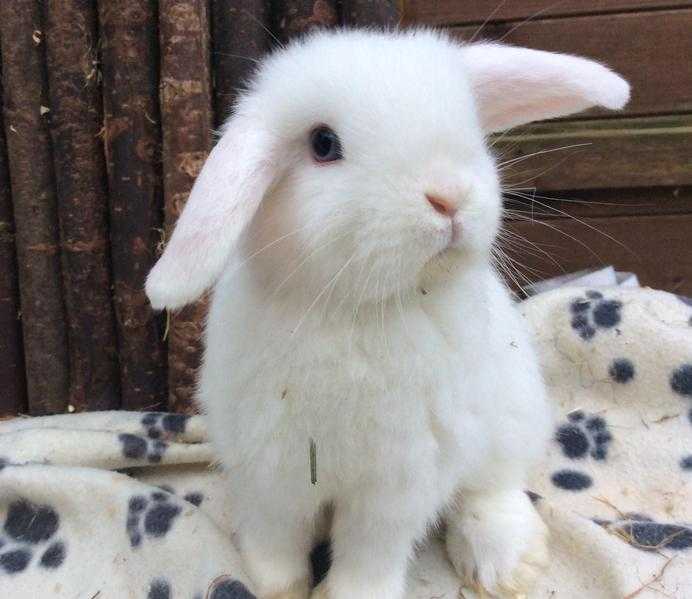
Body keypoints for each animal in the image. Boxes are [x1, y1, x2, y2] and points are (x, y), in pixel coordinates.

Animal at [145, 29, 628, 599]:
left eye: (469, 120)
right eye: (323, 144)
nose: (449, 195)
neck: (355, 309)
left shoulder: (399, 480)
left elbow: (371, 549)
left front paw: (351, 593)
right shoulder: (271, 468)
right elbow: (276, 538)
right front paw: (273, 586)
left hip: (511, 418)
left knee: (493, 488)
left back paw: (507, 564)